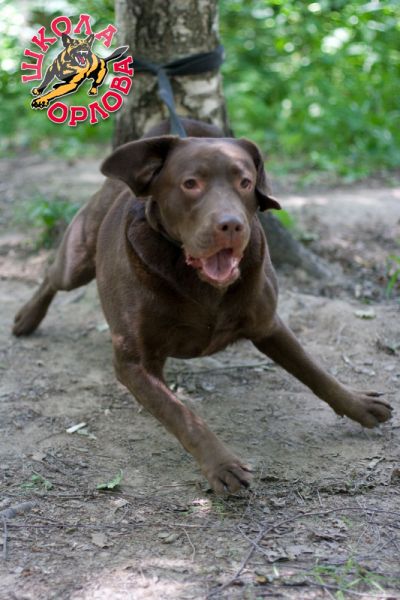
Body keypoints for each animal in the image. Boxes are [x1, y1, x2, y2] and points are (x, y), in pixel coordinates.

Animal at [13, 118, 392, 493]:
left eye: (245, 182)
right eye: (190, 184)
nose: (231, 225)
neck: (201, 283)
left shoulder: (268, 324)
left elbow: (314, 371)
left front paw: (358, 404)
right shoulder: (133, 363)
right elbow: (184, 416)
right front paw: (222, 466)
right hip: (78, 257)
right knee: (52, 276)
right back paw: (26, 319)